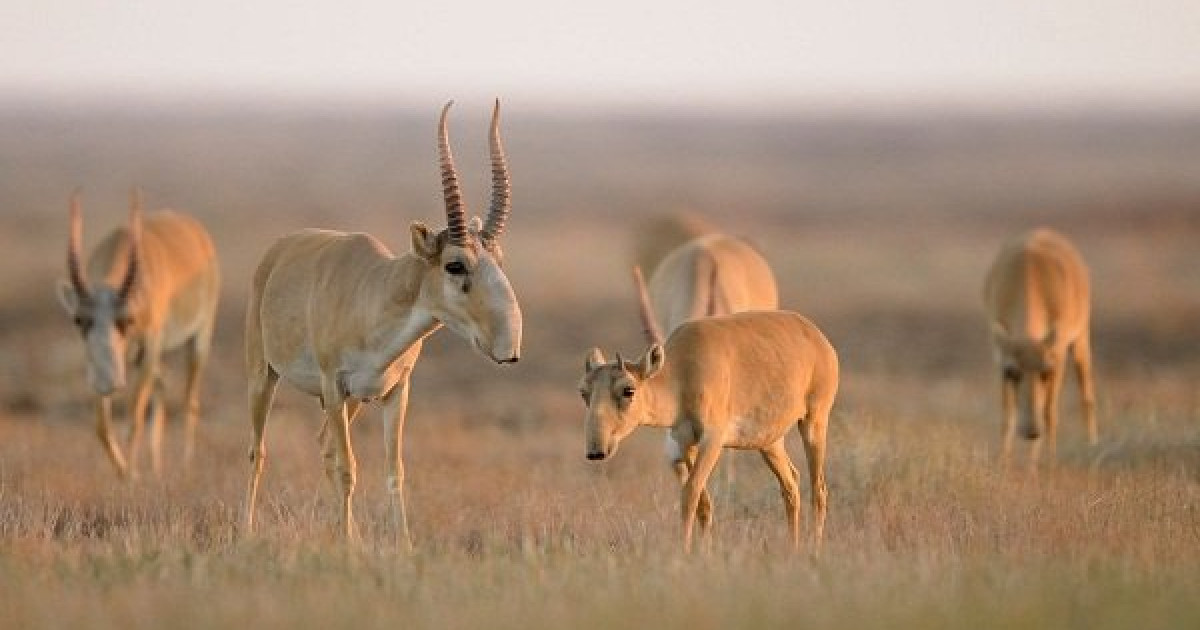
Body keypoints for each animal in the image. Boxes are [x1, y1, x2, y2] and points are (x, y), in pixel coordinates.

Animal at [56, 190, 220, 477]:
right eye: (79, 320)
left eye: (127, 320)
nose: (108, 382)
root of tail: (197, 232)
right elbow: (102, 426)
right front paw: (126, 474)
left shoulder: (150, 348)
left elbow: (134, 418)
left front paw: (132, 476)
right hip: (140, 358)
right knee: (163, 383)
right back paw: (157, 468)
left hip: (198, 340)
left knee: (190, 400)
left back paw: (185, 468)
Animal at [242, 100, 520, 542]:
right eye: (454, 264)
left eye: (499, 259)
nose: (508, 347)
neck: (375, 293)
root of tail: (279, 250)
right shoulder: (333, 386)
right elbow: (347, 469)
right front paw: (349, 547)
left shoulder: (395, 392)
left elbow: (394, 472)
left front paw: (400, 545)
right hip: (265, 376)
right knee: (259, 450)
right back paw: (247, 531)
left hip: (353, 400)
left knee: (323, 445)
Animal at [578, 286, 835, 552]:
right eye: (584, 391)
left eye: (628, 390)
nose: (596, 451)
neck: (682, 373)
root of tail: (816, 336)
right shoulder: (685, 441)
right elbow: (703, 503)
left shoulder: (712, 440)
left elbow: (690, 493)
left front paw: (685, 551)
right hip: (769, 442)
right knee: (791, 484)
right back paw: (793, 548)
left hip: (814, 422)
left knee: (819, 489)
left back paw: (815, 549)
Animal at [984, 225, 1099, 460]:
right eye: (1011, 371)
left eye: (1046, 371)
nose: (1031, 431)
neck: (1029, 276)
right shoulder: (1000, 358)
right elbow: (1007, 415)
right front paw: (1003, 461)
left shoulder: (1058, 356)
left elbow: (1049, 412)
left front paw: (1048, 461)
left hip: (1081, 339)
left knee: (1086, 393)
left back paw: (1092, 445)